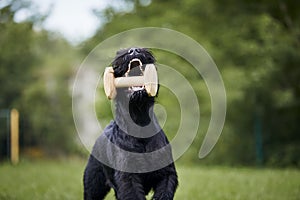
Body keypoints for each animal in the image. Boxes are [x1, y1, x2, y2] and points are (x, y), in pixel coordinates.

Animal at [83, 47, 178, 199]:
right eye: (119, 52)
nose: (134, 50)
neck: (139, 122)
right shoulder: (128, 177)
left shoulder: (166, 174)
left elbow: (164, 193)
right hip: (94, 184)